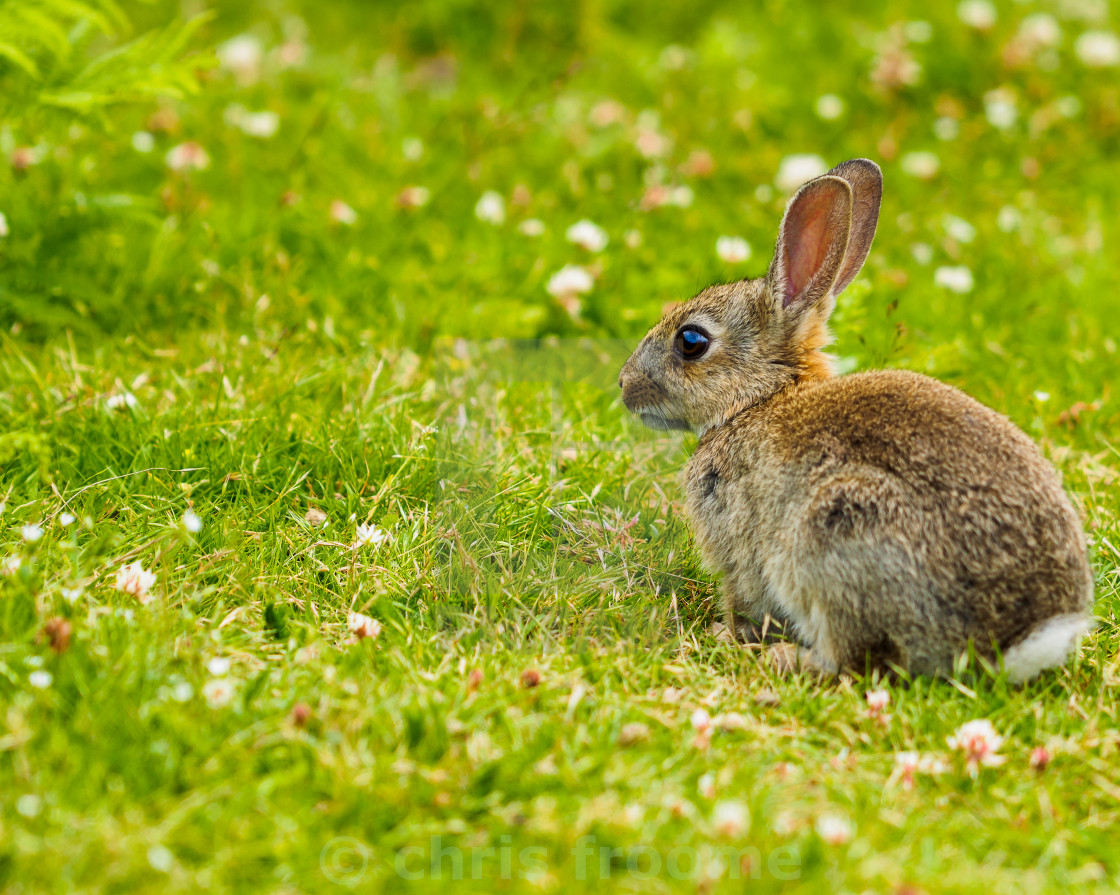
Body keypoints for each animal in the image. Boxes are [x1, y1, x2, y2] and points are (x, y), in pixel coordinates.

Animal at [618, 159, 1088, 681]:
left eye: (691, 341)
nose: (624, 386)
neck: (760, 399)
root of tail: (1017, 642)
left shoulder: (737, 541)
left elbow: (744, 598)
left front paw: (725, 634)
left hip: (835, 530)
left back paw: (785, 658)